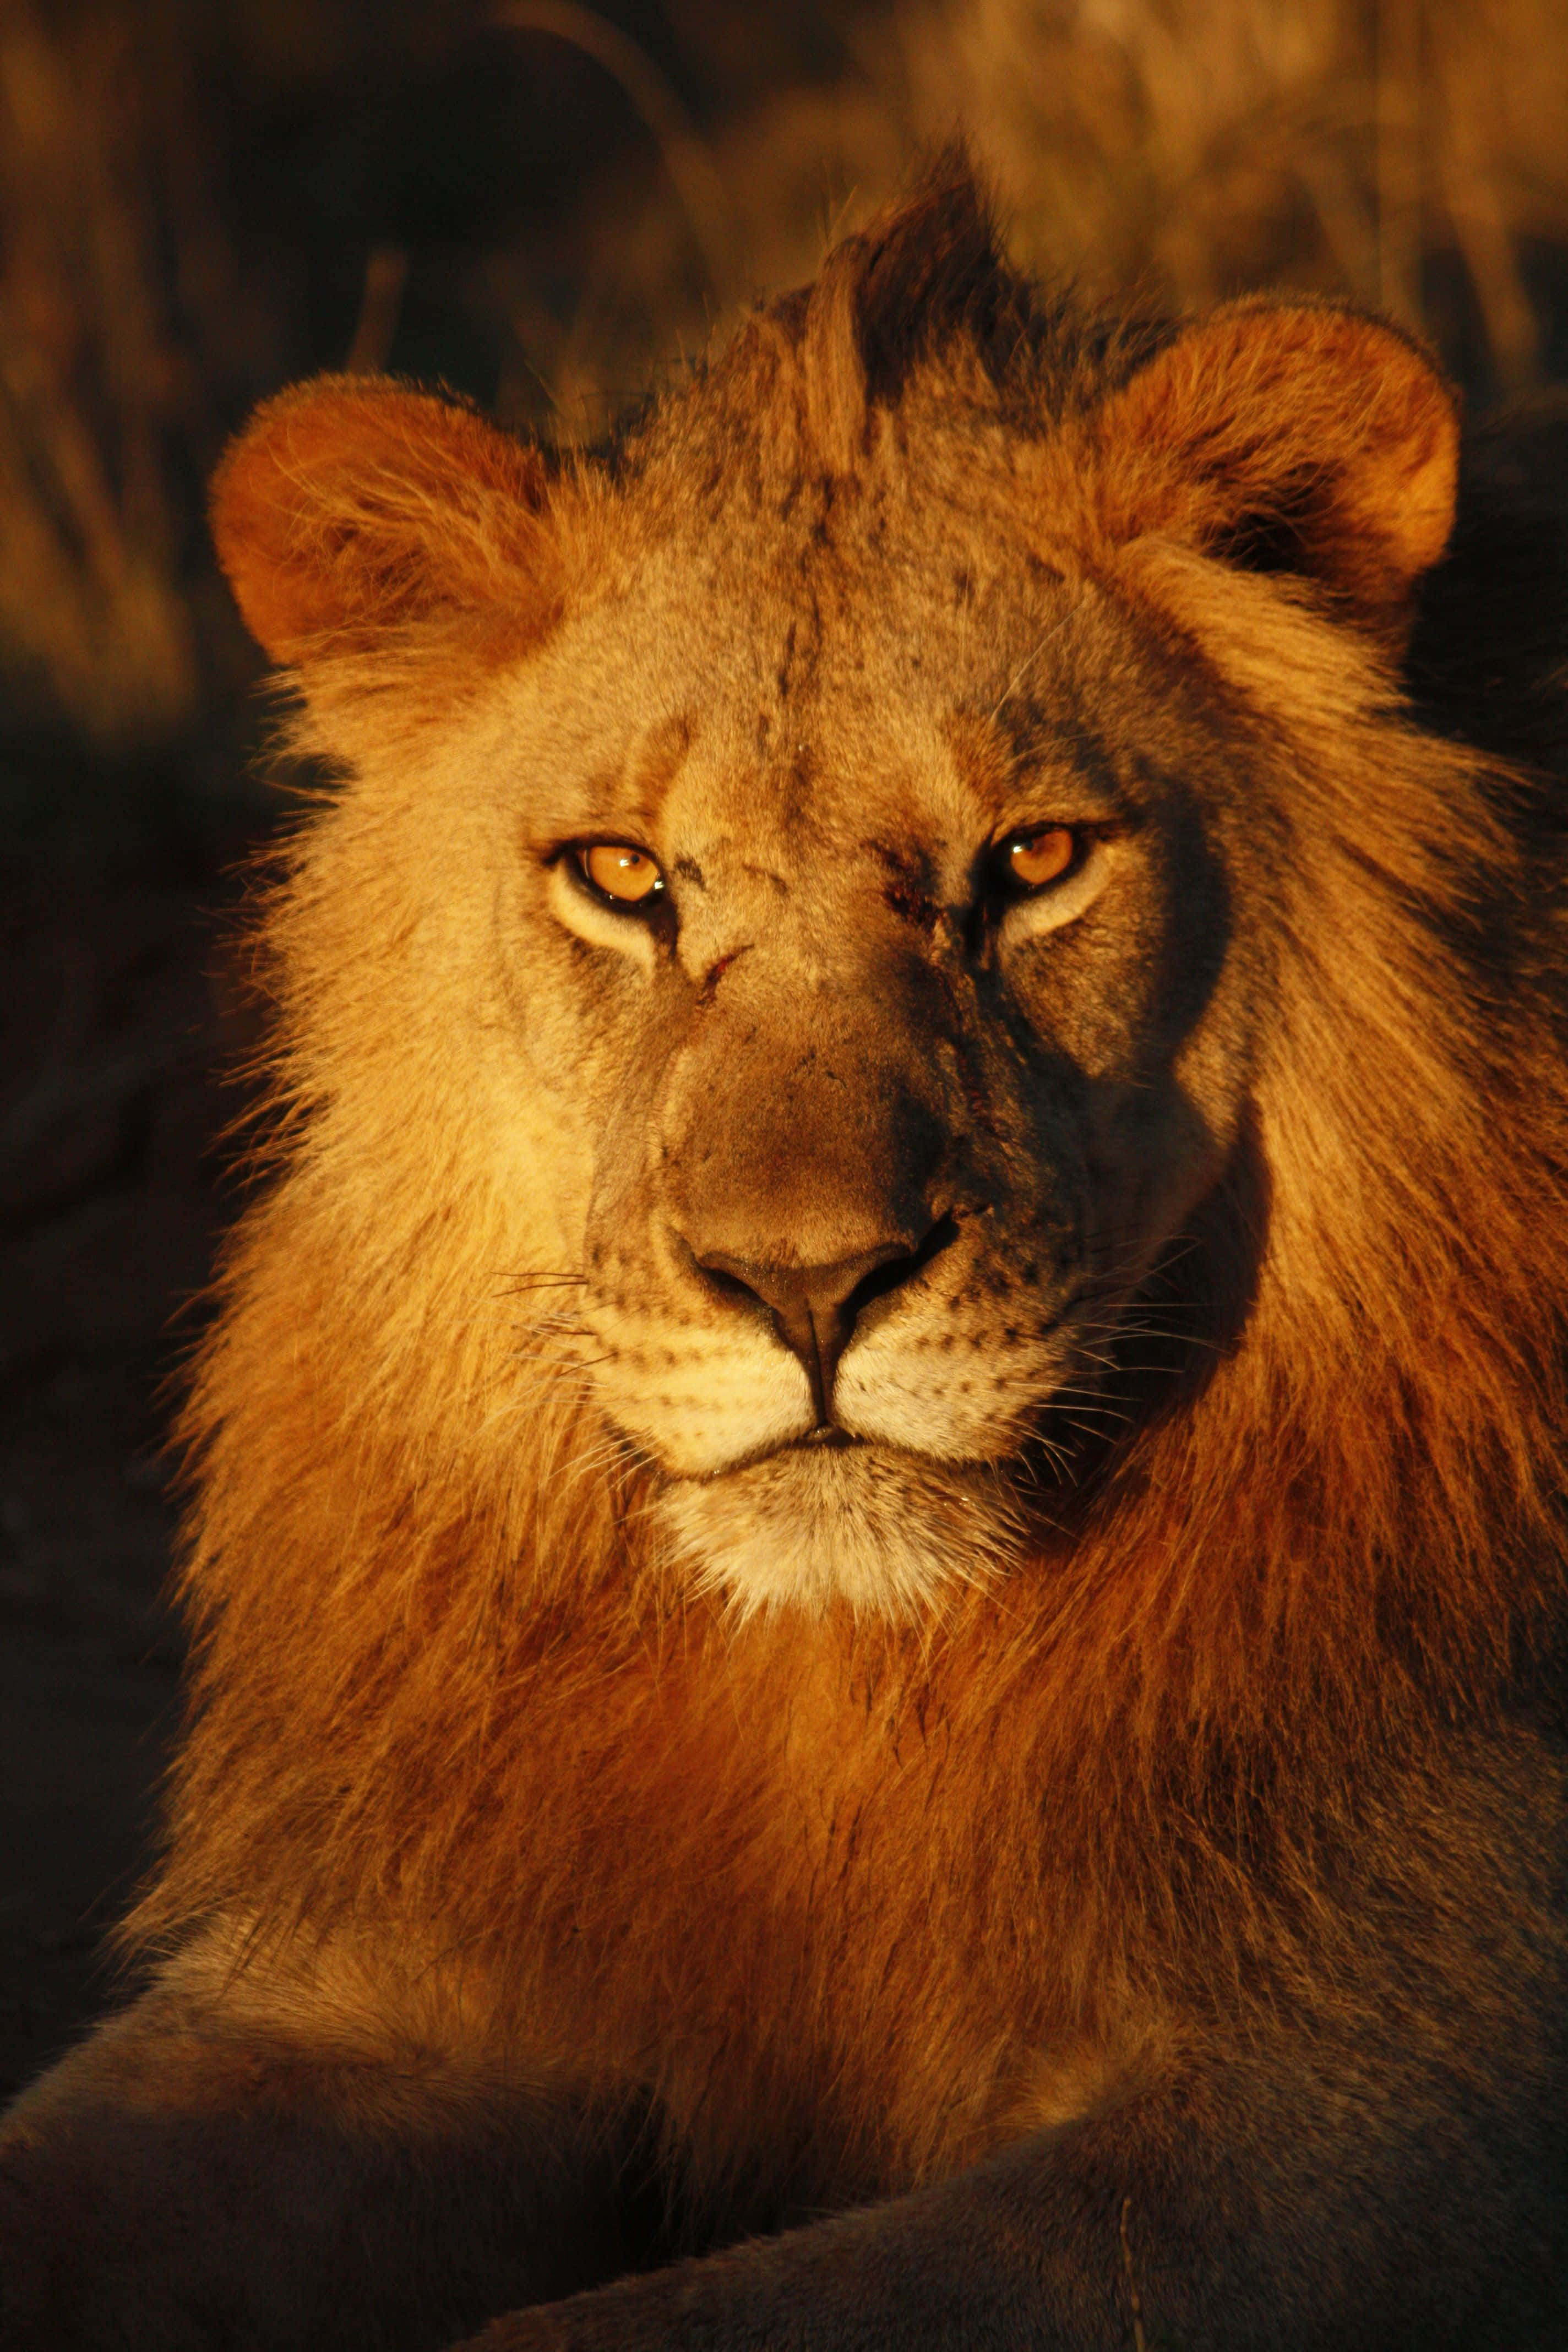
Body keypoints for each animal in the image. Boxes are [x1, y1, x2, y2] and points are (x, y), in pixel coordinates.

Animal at [3, 156, 1567, 2350]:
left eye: (1031, 859)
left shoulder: (1391, 2090)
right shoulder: (376, 1983)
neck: (836, 1685)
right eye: (621, 877)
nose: (807, 1287)